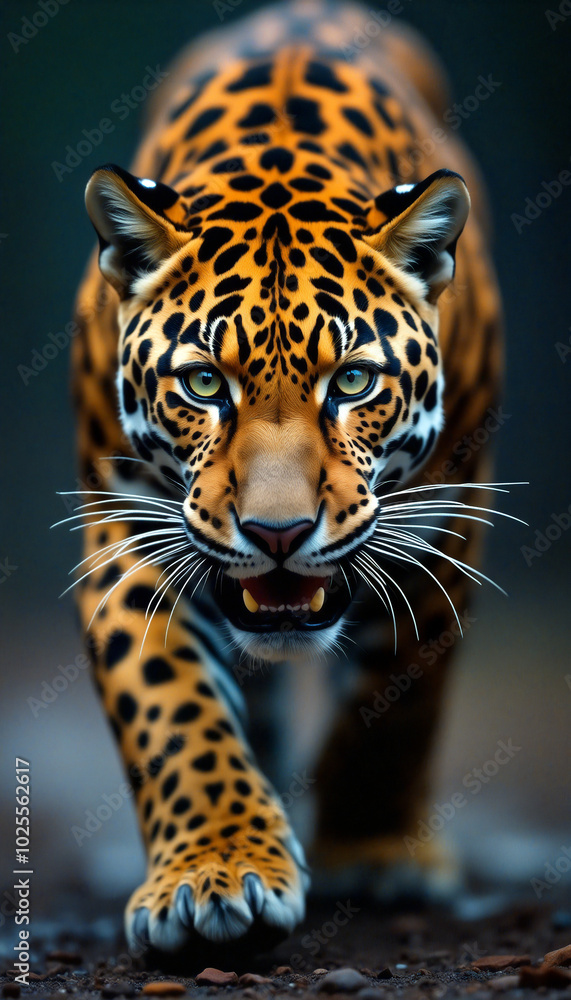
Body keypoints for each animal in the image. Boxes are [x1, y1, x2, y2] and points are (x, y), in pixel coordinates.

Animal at [67, 0, 504, 958]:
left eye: (352, 382)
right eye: (203, 384)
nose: (276, 534)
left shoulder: (442, 520)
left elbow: (395, 698)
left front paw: (370, 851)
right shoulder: (127, 530)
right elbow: (172, 707)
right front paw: (215, 871)